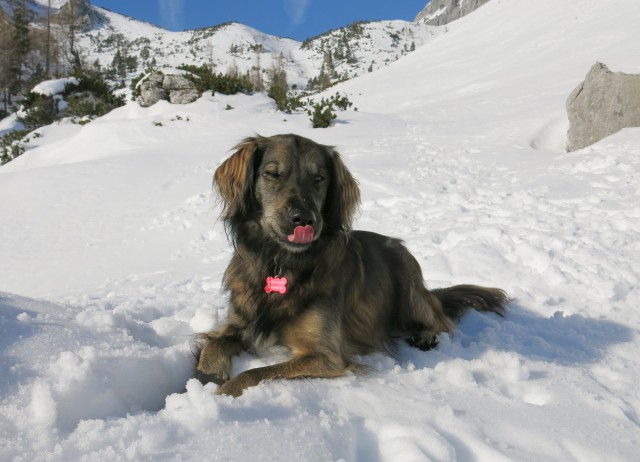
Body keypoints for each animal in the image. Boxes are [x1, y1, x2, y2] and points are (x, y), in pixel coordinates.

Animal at [192, 134, 508, 398]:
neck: (281, 263)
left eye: (319, 178)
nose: (303, 219)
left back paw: (425, 335)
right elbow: (212, 347)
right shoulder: (238, 322)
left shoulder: (325, 356)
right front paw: (203, 380)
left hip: (408, 287)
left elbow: (255, 373)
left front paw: (220, 394)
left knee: (440, 319)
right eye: (272, 174)